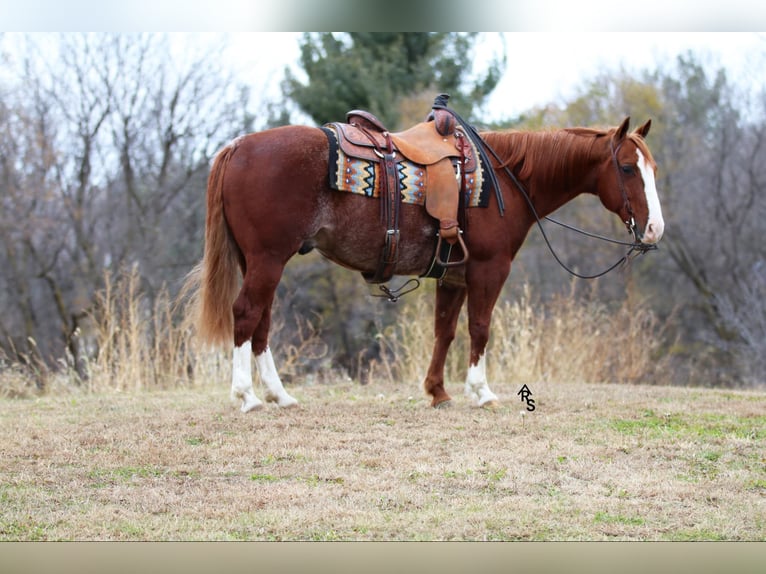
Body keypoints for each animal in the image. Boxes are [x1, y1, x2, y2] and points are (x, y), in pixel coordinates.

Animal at [186, 115, 664, 412]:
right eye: (627, 168)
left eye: (652, 168)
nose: (655, 229)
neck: (504, 180)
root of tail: (238, 145)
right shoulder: (489, 269)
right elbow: (479, 328)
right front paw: (481, 391)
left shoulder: (452, 277)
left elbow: (445, 331)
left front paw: (438, 392)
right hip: (267, 260)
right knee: (247, 314)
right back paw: (247, 397)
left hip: (258, 261)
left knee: (262, 323)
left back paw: (279, 395)